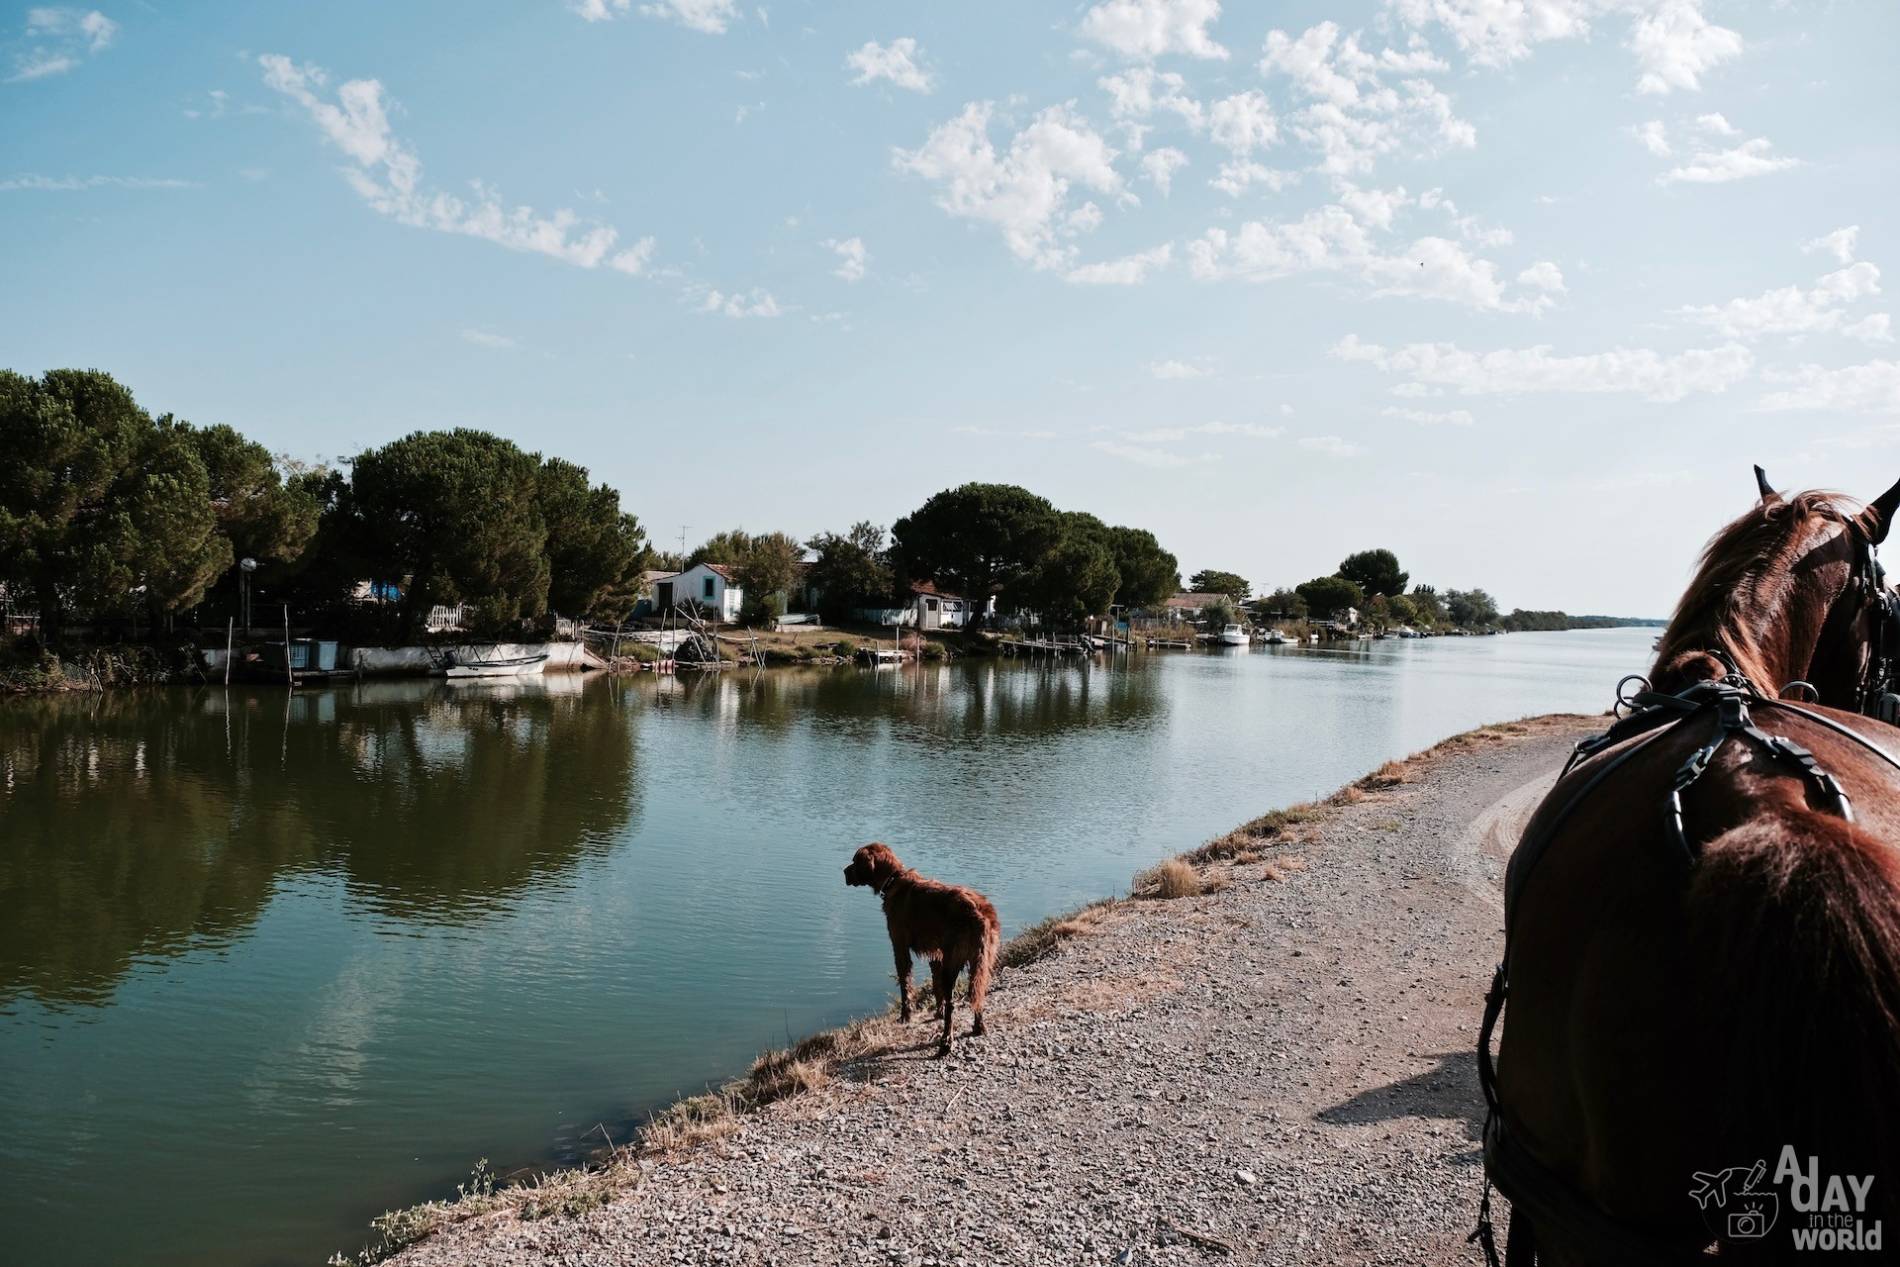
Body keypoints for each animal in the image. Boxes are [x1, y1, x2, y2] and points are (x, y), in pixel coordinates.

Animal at [843, 843, 1003, 1063]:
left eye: (855, 861)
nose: (844, 872)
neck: (894, 881)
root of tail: (979, 912)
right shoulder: (936, 954)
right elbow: (936, 987)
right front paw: (937, 1012)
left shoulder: (900, 946)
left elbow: (905, 984)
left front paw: (905, 1016)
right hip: (982, 962)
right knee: (977, 993)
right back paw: (978, 1026)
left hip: (953, 962)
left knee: (953, 1005)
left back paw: (945, 1043)